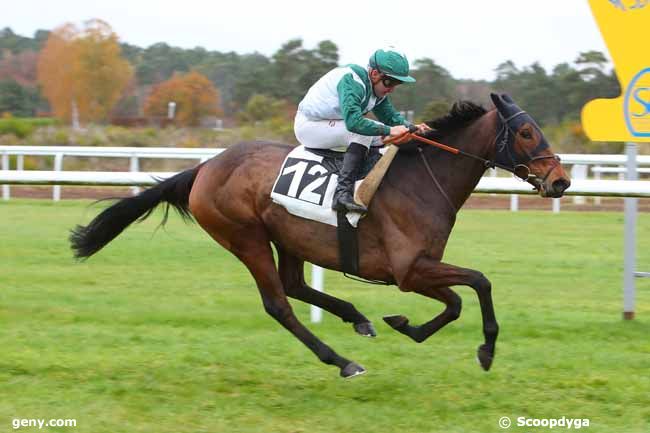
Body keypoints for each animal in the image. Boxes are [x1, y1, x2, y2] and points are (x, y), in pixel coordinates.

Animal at [68, 93, 568, 376]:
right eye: (526, 133)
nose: (561, 181)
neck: (422, 180)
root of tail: (206, 167)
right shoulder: (410, 270)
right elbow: (479, 283)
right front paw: (486, 349)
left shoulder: (416, 270)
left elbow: (457, 301)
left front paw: (404, 324)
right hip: (245, 237)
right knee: (279, 304)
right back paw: (342, 362)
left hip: (288, 237)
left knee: (294, 285)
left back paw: (358, 318)